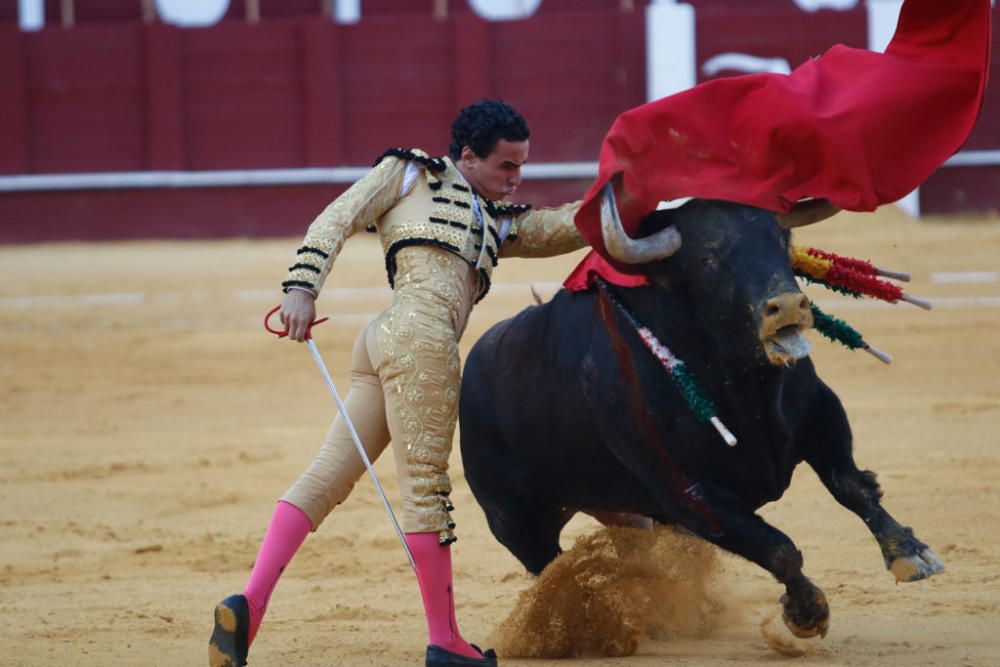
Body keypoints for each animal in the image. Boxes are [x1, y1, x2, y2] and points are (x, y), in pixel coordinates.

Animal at [460, 190, 944, 640]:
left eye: (781, 238)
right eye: (708, 258)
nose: (788, 306)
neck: (745, 386)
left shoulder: (820, 413)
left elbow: (852, 486)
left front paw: (909, 552)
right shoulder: (691, 495)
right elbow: (778, 547)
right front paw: (807, 612)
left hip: (621, 509)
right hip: (515, 521)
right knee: (549, 566)